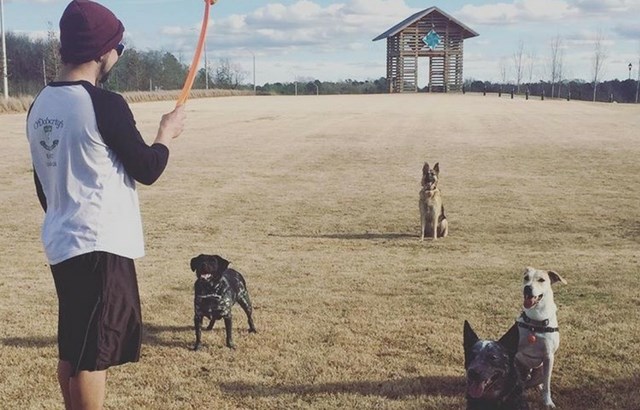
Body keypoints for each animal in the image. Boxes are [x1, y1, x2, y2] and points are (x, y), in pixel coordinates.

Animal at [512, 266, 568, 406]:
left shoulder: (548, 357)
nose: (527, 288)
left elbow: (547, 383)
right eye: (526, 278)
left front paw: (548, 402)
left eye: (541, 280)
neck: (535, 321)